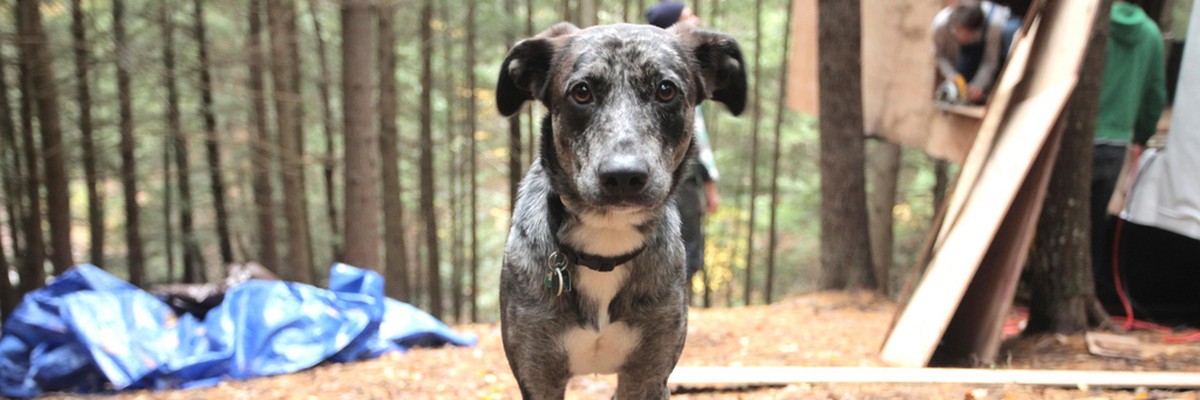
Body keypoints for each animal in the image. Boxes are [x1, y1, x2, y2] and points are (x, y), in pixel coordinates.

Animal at [494, 22, 739, 398]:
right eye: (581, 92)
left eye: (666, 90)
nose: (624, 176)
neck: (606, 241)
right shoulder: (538, 376)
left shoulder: (648, 376)